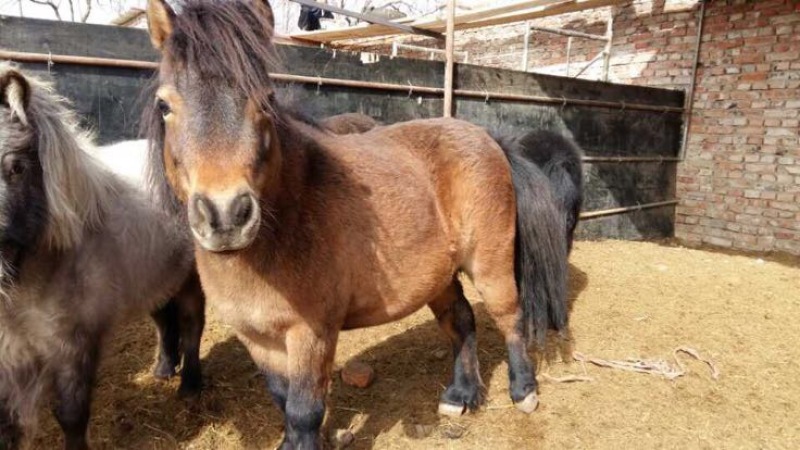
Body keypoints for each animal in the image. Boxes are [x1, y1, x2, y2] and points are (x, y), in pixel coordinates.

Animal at [0, 64, 205, 450]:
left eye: (16, 168)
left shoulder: (74, 345)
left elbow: (71, 416)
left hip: (189, 278)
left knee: (191, 324)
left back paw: (190, 386)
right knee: (164, 321)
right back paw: (163, 369)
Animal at [144, 0, 568, 448]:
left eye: (265, 101)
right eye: (164, 106)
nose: (225, 215)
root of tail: (488, 138)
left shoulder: (312, 334)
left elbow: (304, 412)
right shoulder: (257, 338)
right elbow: (282, 402)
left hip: (490, 265)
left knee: (508, 317)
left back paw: (523, 390)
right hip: (438, 276)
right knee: (461, 320)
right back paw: (461, 395)